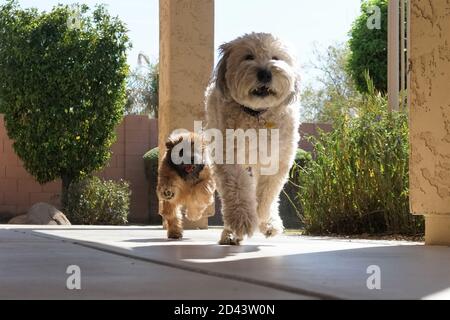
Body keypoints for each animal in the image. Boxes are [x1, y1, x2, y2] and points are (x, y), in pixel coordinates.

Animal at [206, 33, 300, 245]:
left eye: (276, 57)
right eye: (248, 56)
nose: (265, 73)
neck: (257, 115)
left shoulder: (277, 161)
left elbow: (266, 195)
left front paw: (264, 220)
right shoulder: (229, 157)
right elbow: (238, 188)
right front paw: (243, 220)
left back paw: (269, 224)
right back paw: (230, 233)